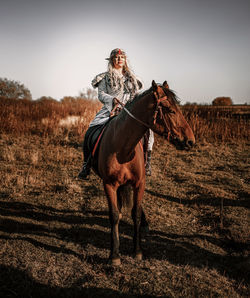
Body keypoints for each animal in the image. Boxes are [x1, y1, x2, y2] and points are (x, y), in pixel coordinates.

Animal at [94, 79, 194, 266]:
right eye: (170, 110)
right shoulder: (109, 184)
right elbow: (114, 215)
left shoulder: (140, 183)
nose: (191, 141)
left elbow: (136, 214)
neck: (123, 149)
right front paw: (114, 254)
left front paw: (138, 250)